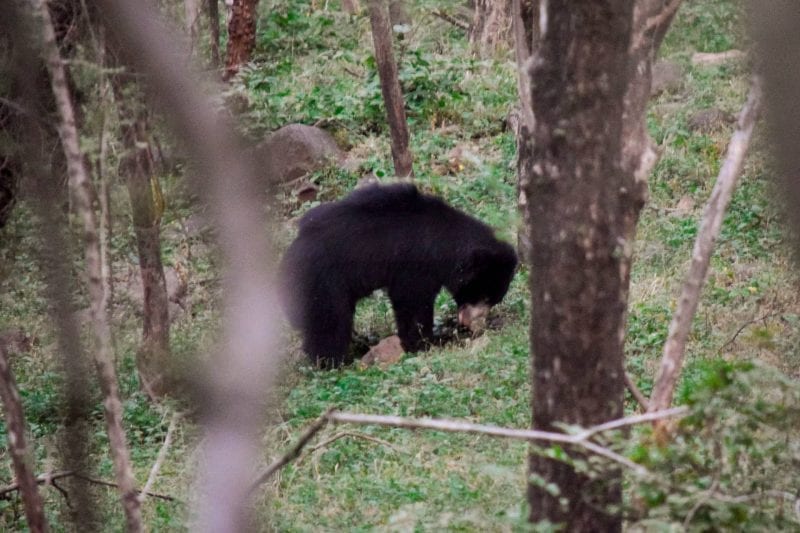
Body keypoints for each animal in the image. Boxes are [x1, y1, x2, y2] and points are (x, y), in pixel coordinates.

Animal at [282, 183, 520, 366]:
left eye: (492, 299)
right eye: (483, 295)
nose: (475, 325)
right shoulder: (416, 262)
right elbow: (411, 302)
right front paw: (429, 342)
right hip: (323, 282)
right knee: (329, 321)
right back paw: (332, 361)